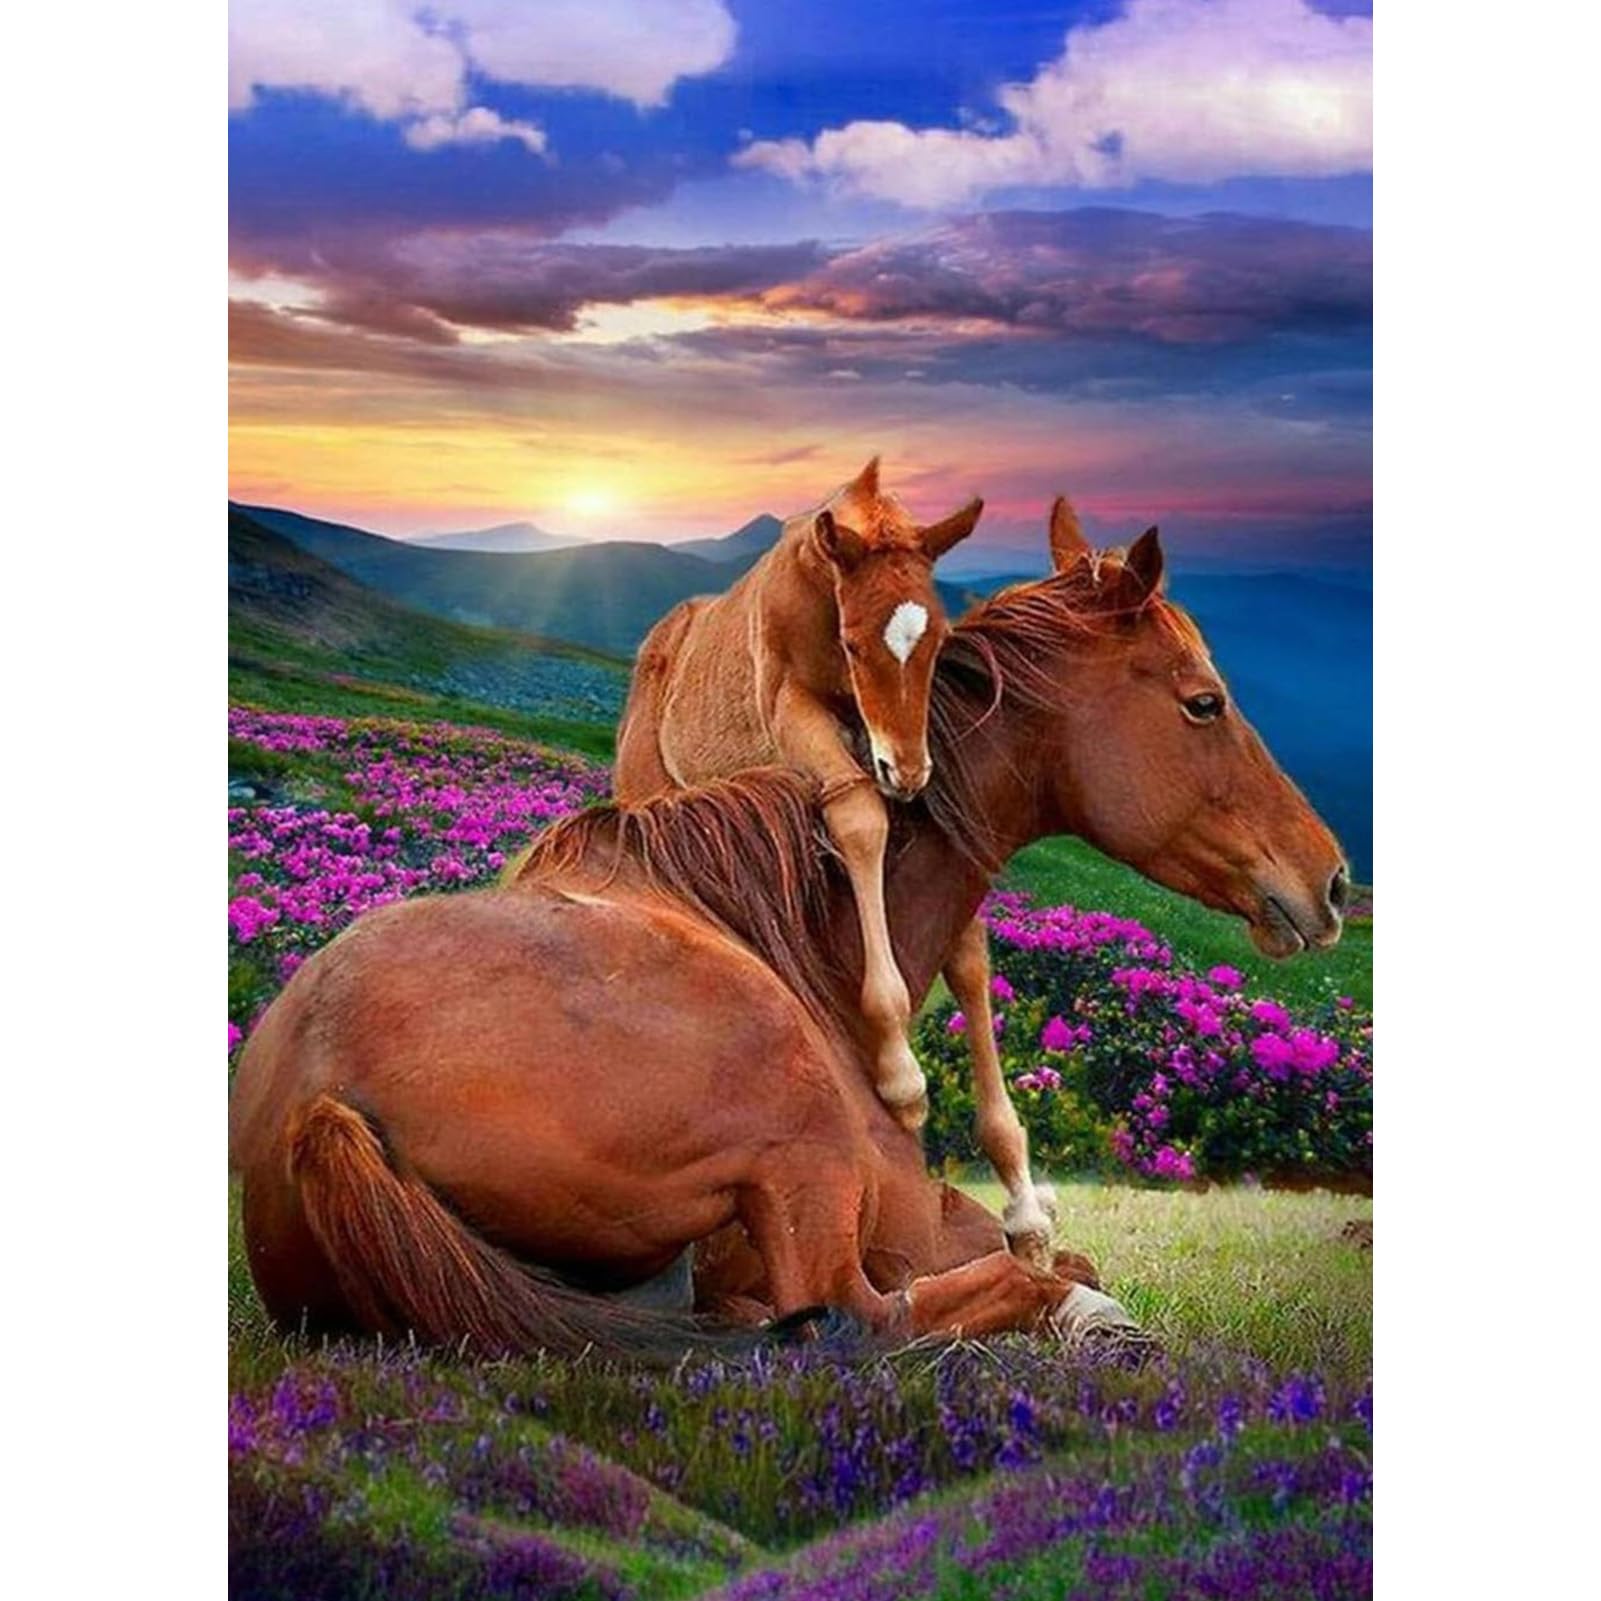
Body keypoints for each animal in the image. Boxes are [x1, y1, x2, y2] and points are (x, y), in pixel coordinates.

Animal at [228, 525, 1347, 1356]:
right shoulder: (898, 1203)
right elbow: (1033, 1257)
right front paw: (1068, 1279)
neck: (812, 944)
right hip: (799, 1134)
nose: (1331, 879)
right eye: (1202, 701)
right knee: (858, 1318)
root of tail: (317, 1108)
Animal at [614, 457, 982, 1130]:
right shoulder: (792, 709)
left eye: (939, 641)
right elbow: (859, 818)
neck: (820, 587)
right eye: (854, 643)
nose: (907, 772)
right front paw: (900, 1075)